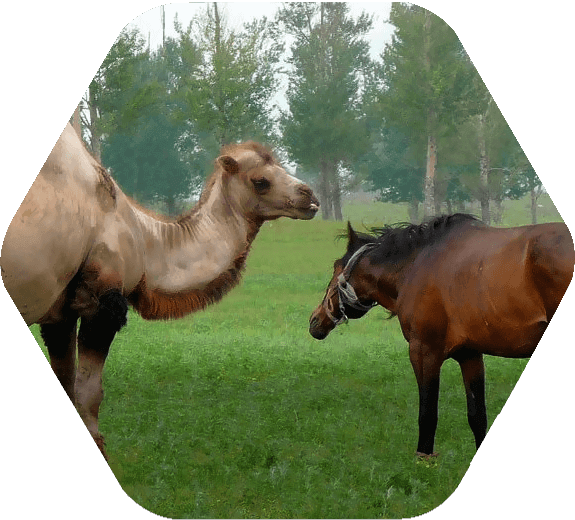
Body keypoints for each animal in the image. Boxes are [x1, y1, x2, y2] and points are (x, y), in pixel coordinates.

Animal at [1, 122, 319, 459]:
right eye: (260, 181)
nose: (310, 196)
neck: (144, 238)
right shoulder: (102, 298)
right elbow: (89, 395)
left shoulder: (59, 311)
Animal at [309, 213, 574, 457]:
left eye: (336, 267)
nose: (315, 321)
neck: (417, 264)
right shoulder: (470, 355)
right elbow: (477, 416)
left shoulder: (424, 352)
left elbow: (427, 416)